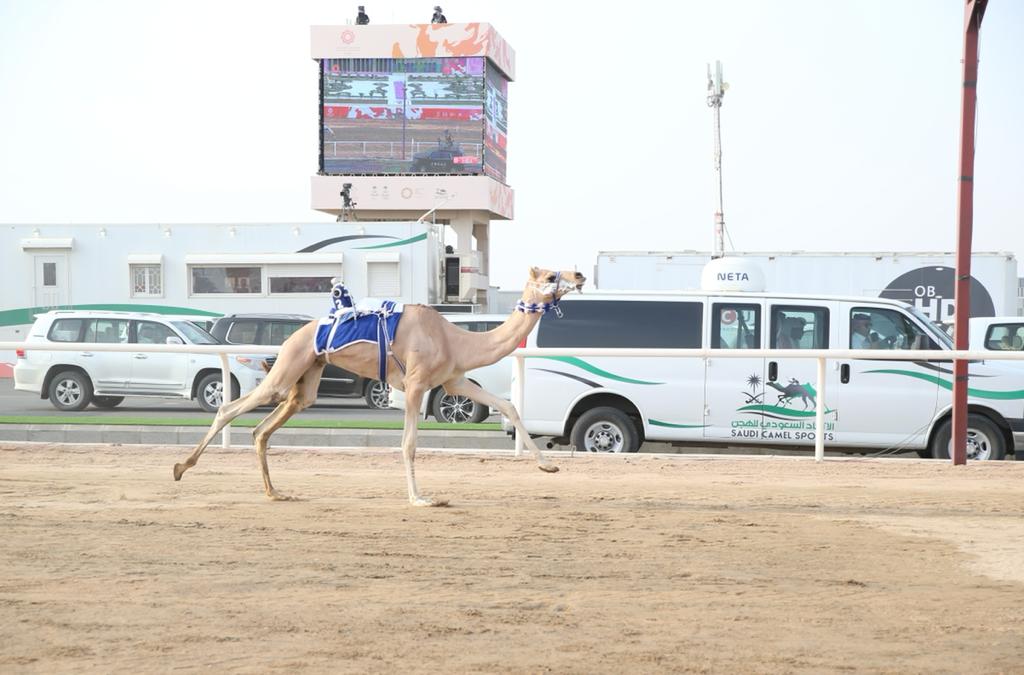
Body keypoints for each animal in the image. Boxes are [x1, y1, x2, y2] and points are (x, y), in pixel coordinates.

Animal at [176, 268, 585, 508]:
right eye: (551, 275)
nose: (579, 274)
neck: (456, 340)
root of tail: (295, 334)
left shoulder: (452, 379)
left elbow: (509, 406)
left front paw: (548, 466)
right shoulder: (417, 384)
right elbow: (409, 443)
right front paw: (420, 499)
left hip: (307, 379)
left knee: (264, 428)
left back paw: (275, 492)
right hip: (289, 365)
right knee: (230, 408)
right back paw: (181, 468)